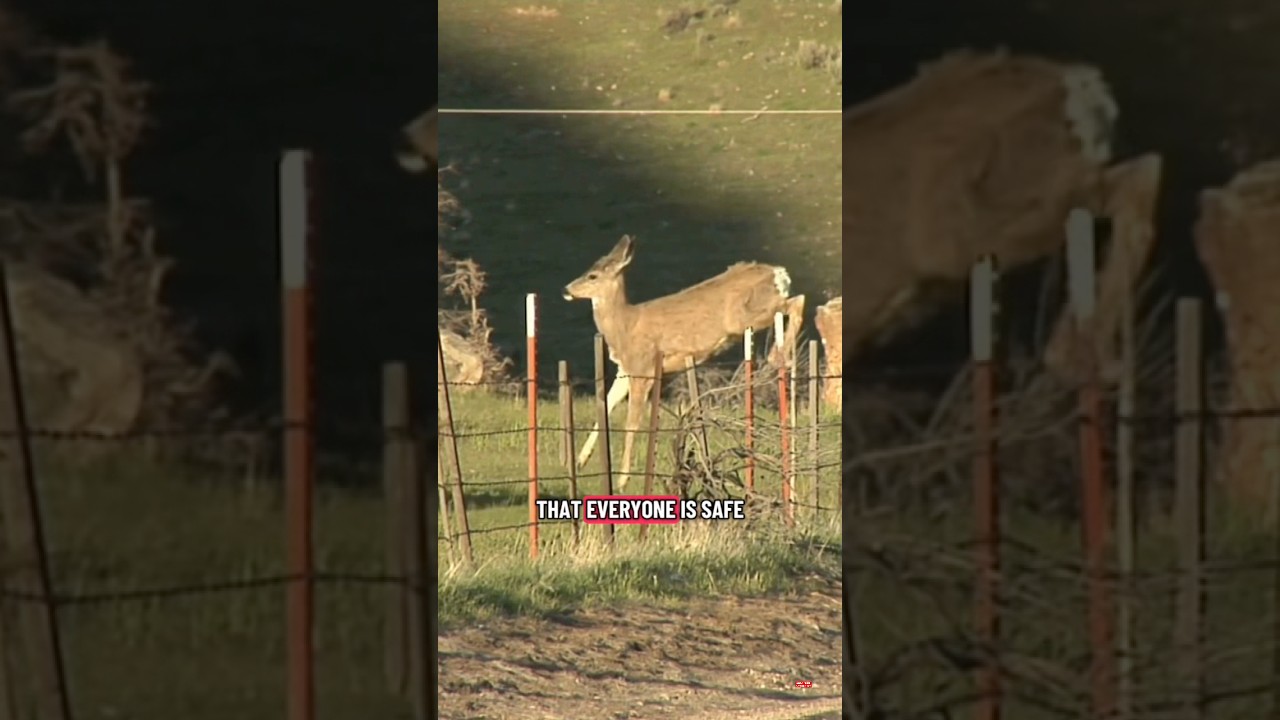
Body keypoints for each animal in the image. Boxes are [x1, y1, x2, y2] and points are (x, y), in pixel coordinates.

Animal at [563, 235, 805, 489]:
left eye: (593, 276)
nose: (566, 289)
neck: (625, 326)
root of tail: (778, 272)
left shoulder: (643, 367)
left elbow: (631, 423)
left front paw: (621, 481)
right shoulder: (625, 370)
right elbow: (605, 405)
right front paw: (580, 461)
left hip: (744, 316)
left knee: (797, 301)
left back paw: (777, 355)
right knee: (796, 300)